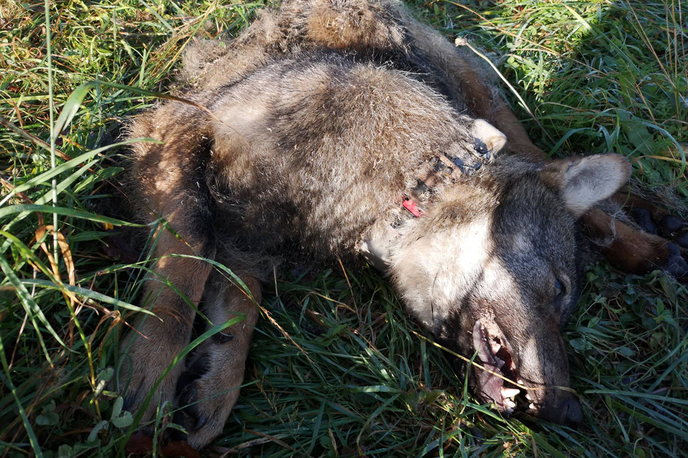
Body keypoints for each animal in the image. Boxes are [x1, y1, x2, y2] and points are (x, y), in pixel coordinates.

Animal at [118, 0, 688, 450]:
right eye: (559, 288)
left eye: (567, 306)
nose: (571, 415)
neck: (404, 184)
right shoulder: (176, 136)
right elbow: (191, 268)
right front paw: (164, 370)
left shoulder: (244, 234)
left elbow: (234, 299)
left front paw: (207, 382)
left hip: (478, 96)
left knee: (545, 158)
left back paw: (650, 238)